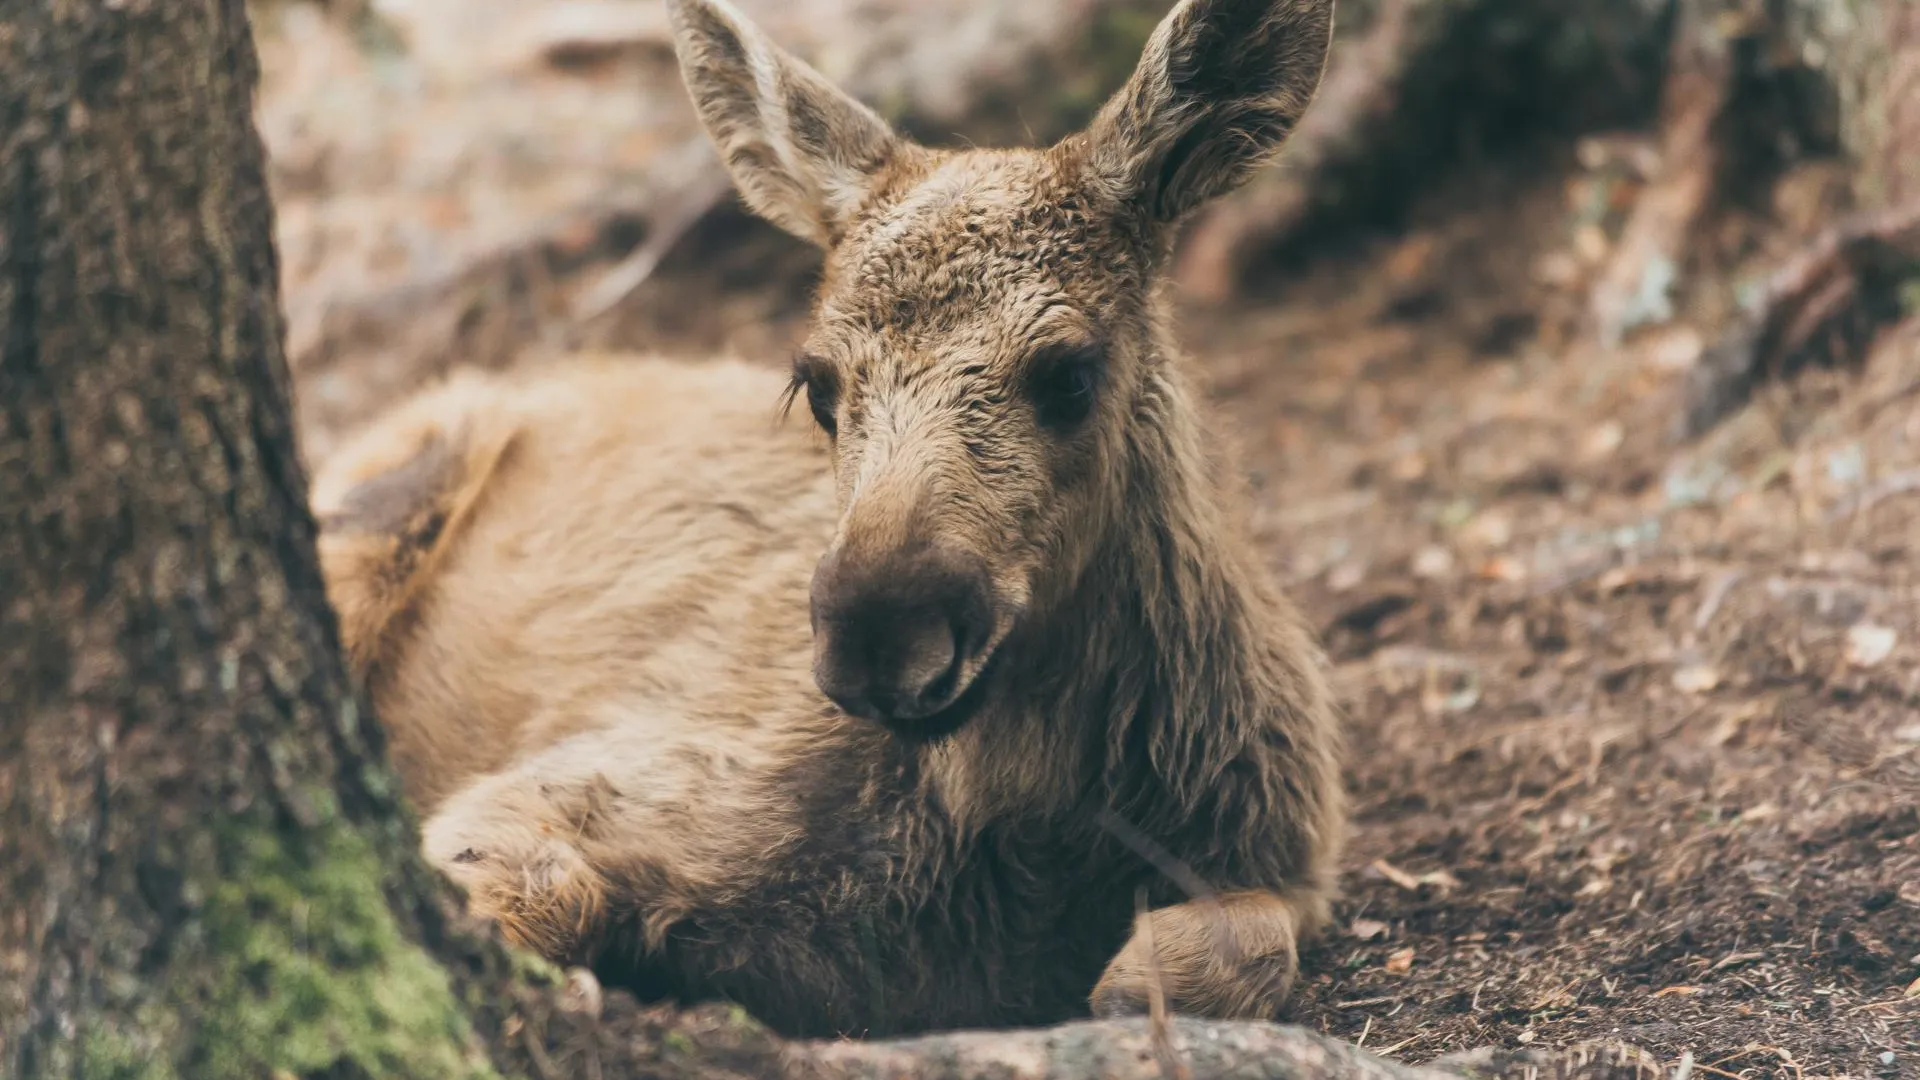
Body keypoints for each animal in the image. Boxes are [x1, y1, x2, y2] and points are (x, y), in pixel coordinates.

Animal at [307, 0, 1344, 1037]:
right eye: (817, 384)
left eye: (1070, 373)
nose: (880, 637)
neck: (1019, 843)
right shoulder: (588, 774)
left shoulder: (1290, 856)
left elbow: (1243, 945)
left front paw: (1132, 984)